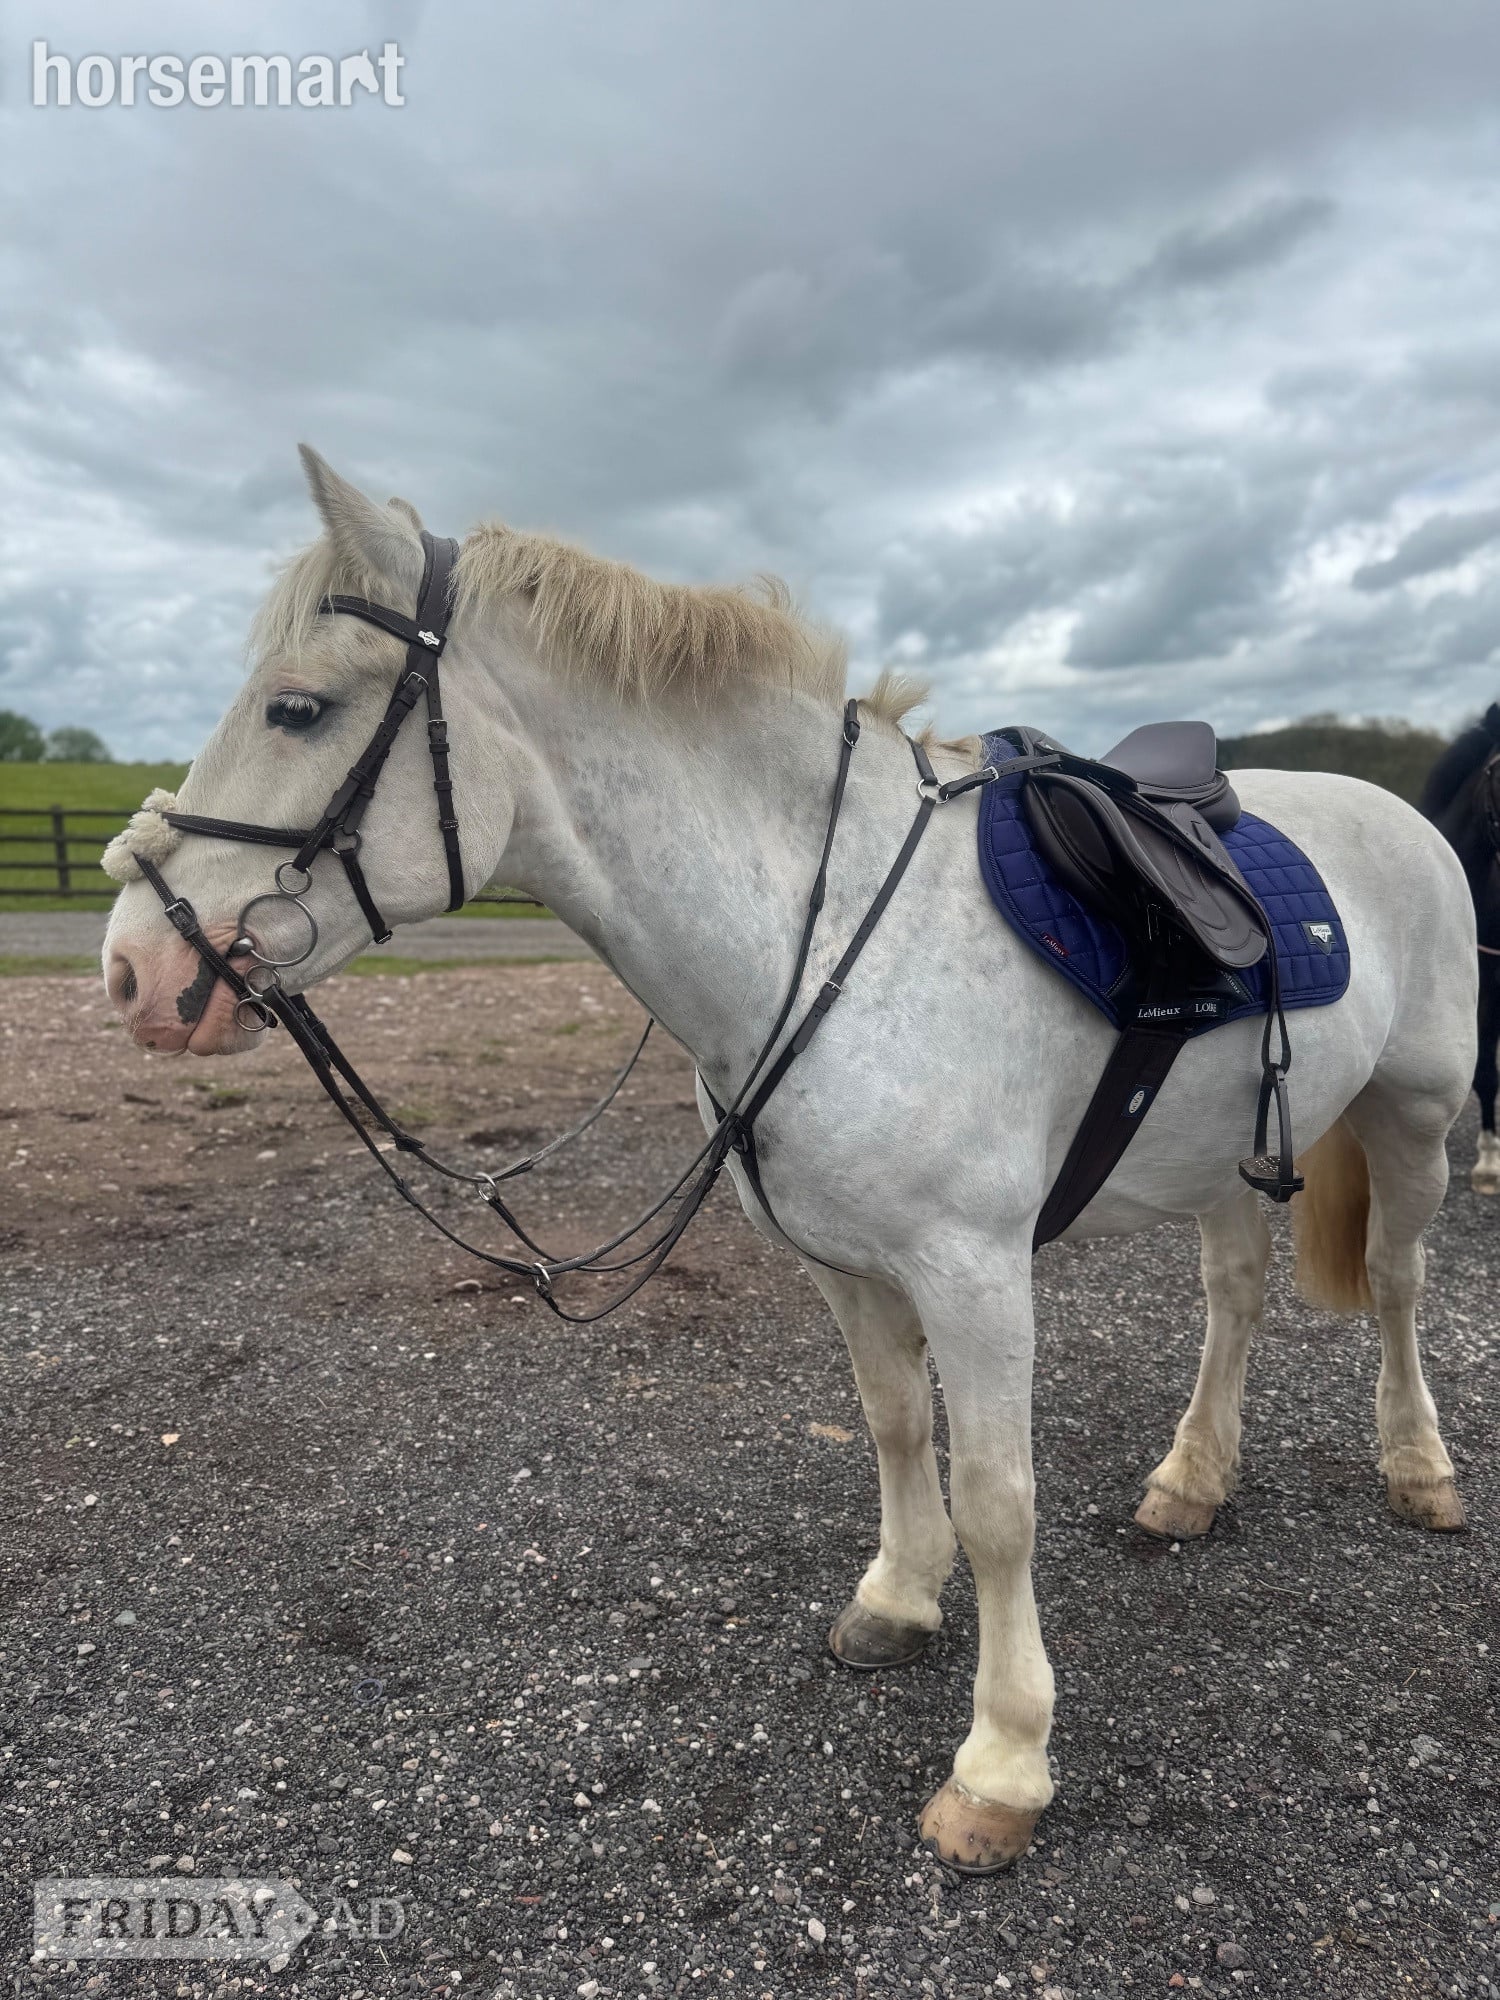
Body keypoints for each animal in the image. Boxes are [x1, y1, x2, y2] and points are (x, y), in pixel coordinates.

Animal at [100, 448, 1475, 1874]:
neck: (823, 931)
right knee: (1236, 1295)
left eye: (298, 708)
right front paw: (898, 1600)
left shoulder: (976, 1273)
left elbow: (998, 1498)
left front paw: (1002, 1762)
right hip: (1228, 1152)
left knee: (1397, 1284)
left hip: (1417, 1118)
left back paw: (1419, 1470)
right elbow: (895, 1423)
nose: (133, 966)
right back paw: (1191, 1481)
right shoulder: (848, 1263)